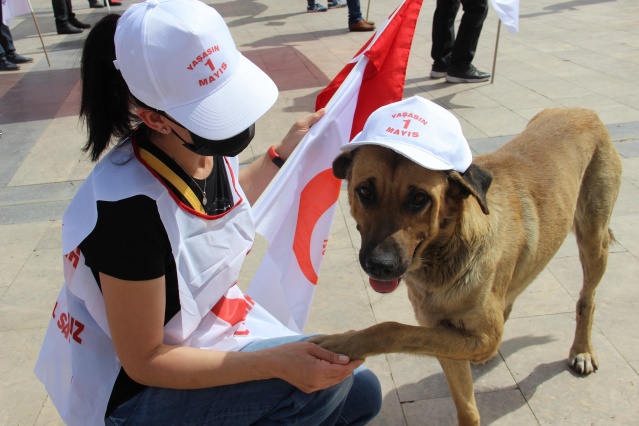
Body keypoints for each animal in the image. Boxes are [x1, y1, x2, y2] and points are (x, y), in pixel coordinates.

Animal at [309, 97, 622, 425]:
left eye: (419, 199)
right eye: (365, 192)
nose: (380, 266)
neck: (444, 254)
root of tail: (582, 111)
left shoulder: (481, 336)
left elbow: (391, 328)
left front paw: (343, 342)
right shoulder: (442, 335)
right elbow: (466, 407)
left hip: (593, 239)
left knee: (587, 299)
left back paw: (582, 349)